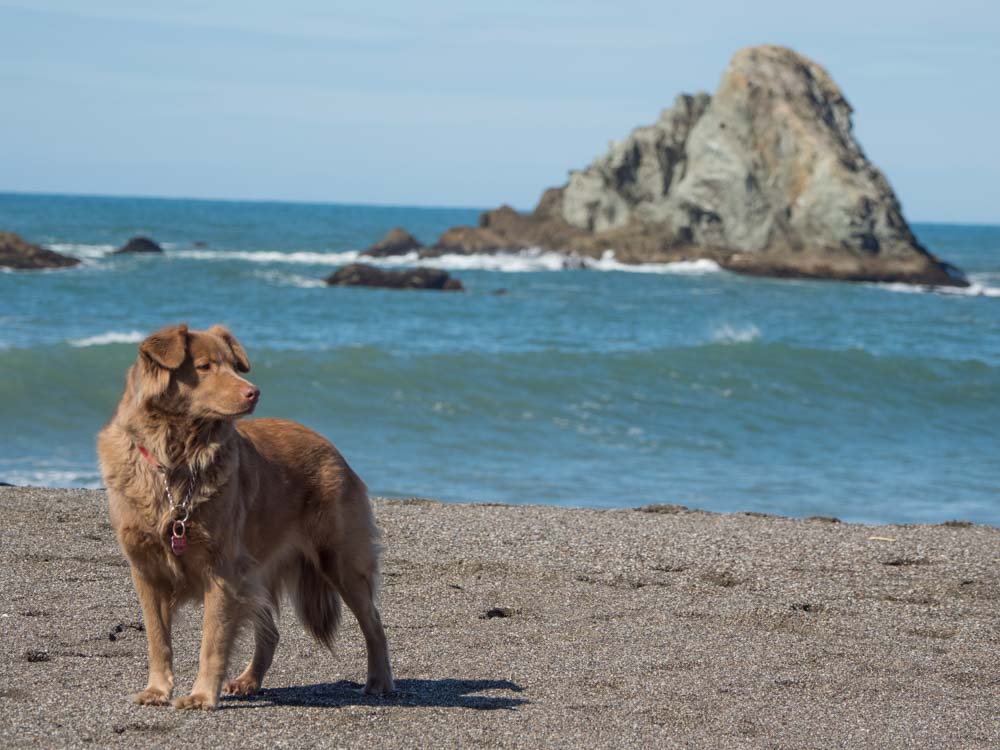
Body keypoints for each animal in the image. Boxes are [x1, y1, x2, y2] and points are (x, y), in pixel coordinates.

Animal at [97, 324, 392, 712]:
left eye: (233, 366)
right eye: (204, 367)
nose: (254, 392)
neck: (178, 461)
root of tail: (331, 447)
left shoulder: (221, 570)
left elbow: (212, 641)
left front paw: (202, 695)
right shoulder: (147, 570)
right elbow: (158, 639)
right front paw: (158, 690)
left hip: (340, 560)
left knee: (373, 622)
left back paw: (379, 681)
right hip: (258, 569)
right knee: (271, 632)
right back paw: (250, 680)